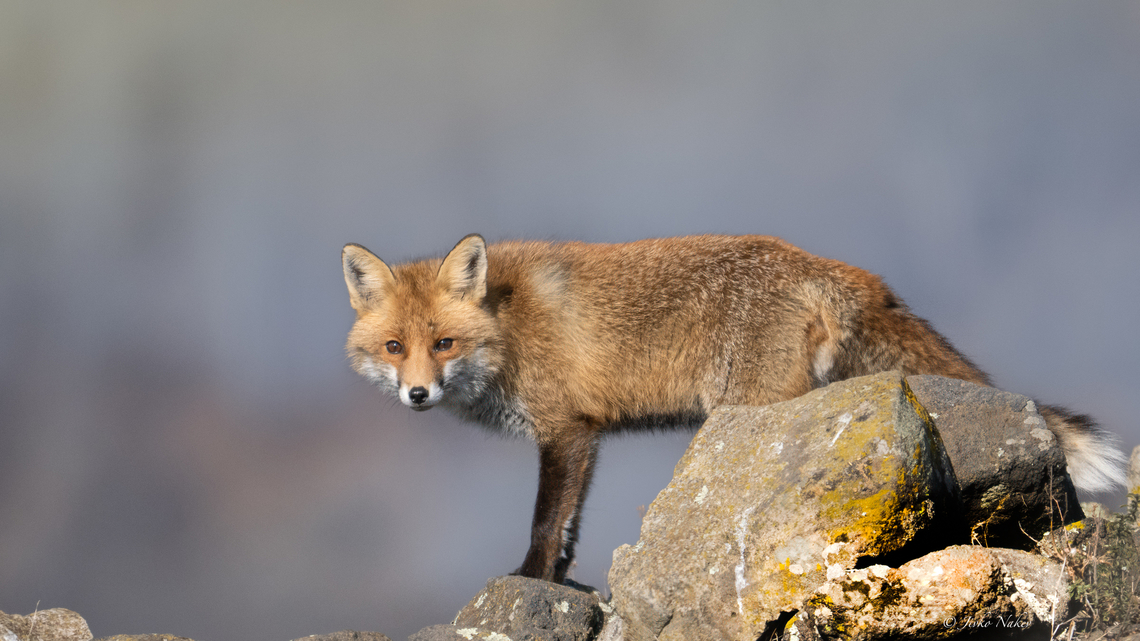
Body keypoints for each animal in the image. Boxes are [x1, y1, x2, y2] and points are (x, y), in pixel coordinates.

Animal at [341, 234, 1125, 583]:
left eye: (443, 343)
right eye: (394, 347)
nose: (417, 394)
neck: (507, 326)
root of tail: (824, 263)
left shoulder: (565, 431)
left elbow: (543, 525)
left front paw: (528, 583)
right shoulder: (588, 438)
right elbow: (568, 533)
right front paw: (559, 582)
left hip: (749, 415)